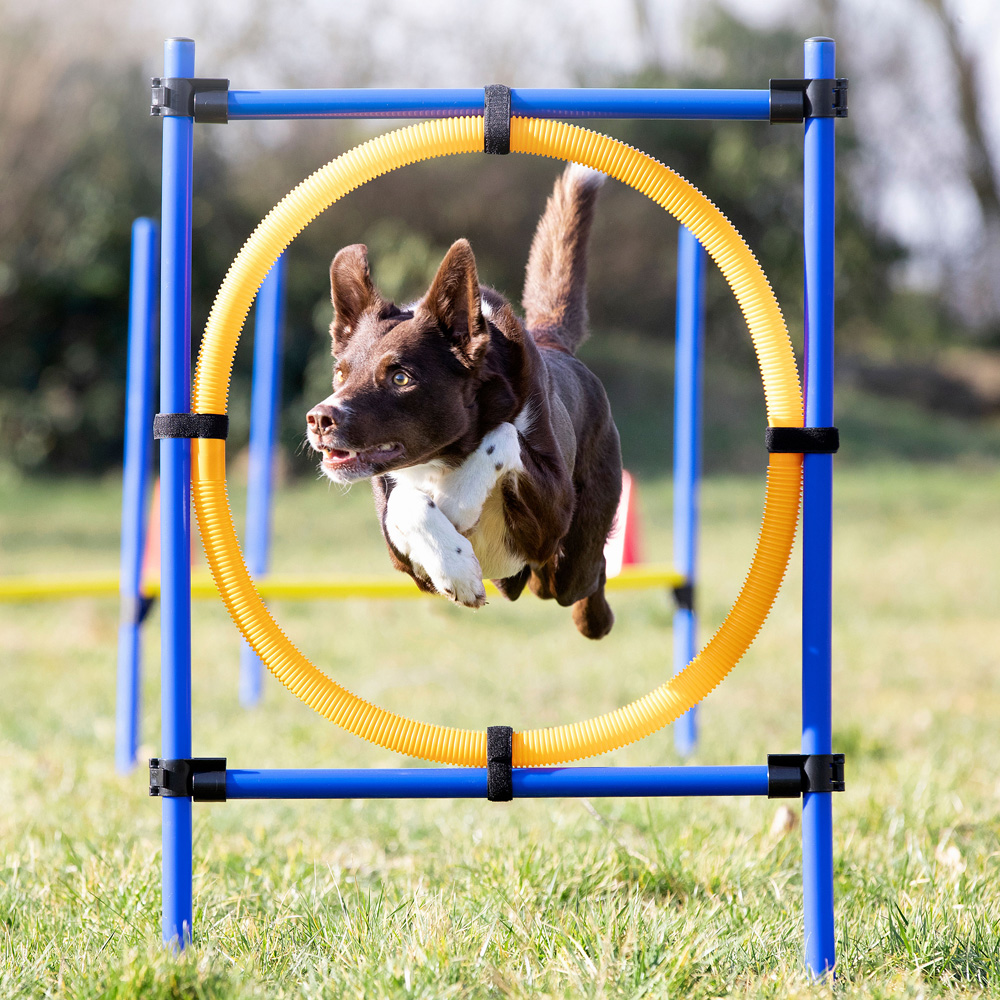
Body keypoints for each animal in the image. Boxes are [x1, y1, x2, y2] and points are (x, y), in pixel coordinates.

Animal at [304, 161, 620, 636]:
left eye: (400, 377)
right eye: (340, 374)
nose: (320, 419)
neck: (448, 454)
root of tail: (555, 343)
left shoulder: (553, 511)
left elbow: (504, 433)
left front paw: (457, 500)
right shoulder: (402, 555)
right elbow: (403, 503)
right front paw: (454, 566)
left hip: (571, 554)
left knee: (587, 576)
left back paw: (596, 617)